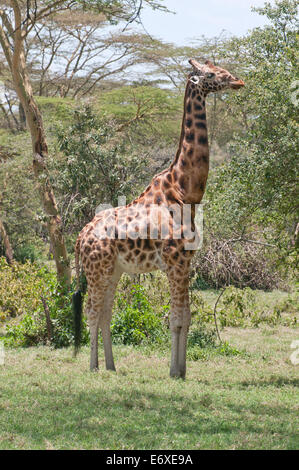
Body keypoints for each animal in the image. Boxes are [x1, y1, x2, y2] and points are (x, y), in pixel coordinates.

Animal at [74, 58, 245, 380]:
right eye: (212, 73)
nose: (239, 81)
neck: (184, 189)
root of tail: (80, 238)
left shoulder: (186, 262)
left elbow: (186, 316)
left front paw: (182, 370)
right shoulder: (175, 261)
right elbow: (176, 318)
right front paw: (175, 371)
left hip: (113, 270)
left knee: (105, 312)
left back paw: (111, 365)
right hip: (96, 269)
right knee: (92, 310)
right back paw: (92, 367)